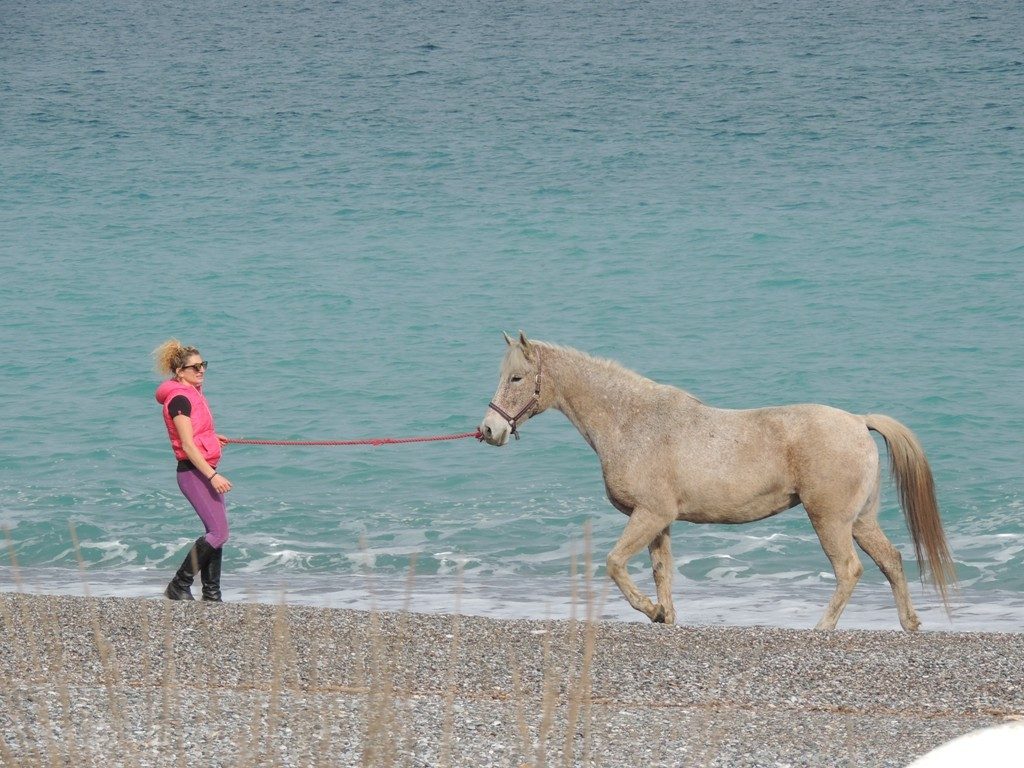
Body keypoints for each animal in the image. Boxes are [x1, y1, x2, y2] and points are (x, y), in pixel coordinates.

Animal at [475, 331, 954, 630]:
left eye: (517, 377)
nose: (490, 430)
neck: (632, 422)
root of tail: (858, 422)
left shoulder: (649, 515)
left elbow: (614, 563)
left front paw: (651, 612)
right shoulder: (659, 521)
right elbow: (661, 572)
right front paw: (665, 615)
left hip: (831, 521)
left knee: (850, 570)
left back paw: (823, 627)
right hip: (860, 520)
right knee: (891, 560)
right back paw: (910, 623)